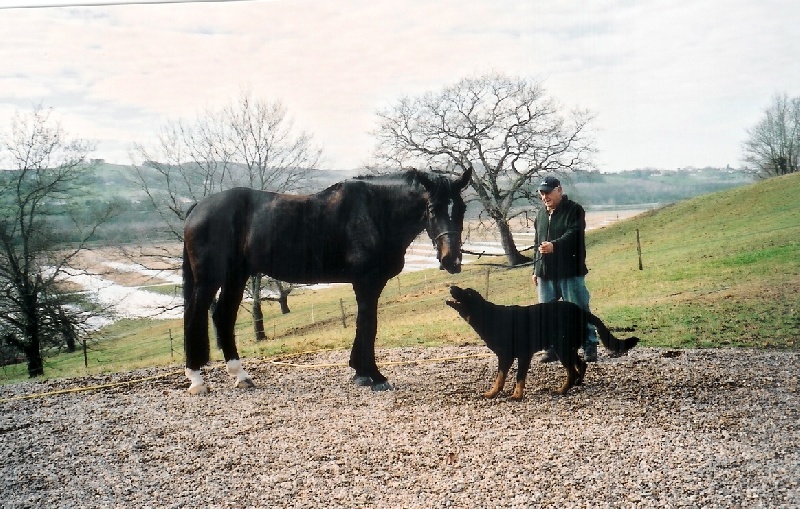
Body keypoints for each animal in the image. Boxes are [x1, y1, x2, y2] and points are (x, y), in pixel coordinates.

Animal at [182, 167, 472, 392]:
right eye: (432, 209)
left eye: (461, 208)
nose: (451, 260)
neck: (375, 211)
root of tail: (198, 207)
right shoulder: (366, 282)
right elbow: (368, 324)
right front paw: (374, 376)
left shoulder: (370, 285)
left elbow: (364, 324)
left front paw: (360, 372)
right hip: (209, 280)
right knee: (196, 315)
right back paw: (197, 379)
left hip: (236, 277)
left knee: (223, 316)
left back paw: (241, 376)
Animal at [444, 286, 636, 396]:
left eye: (466, 292)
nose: (451, 286)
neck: (488, 316)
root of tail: (582, 312)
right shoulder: (504, 357)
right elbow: (500, 378)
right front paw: (492, 393)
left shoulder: (522, 355)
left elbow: (519, 377)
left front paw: (516, 396)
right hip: (566, 347)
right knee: (581, 365)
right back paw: (577, 384)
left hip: (561, 347)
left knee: (572, 370)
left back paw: (562, 390)